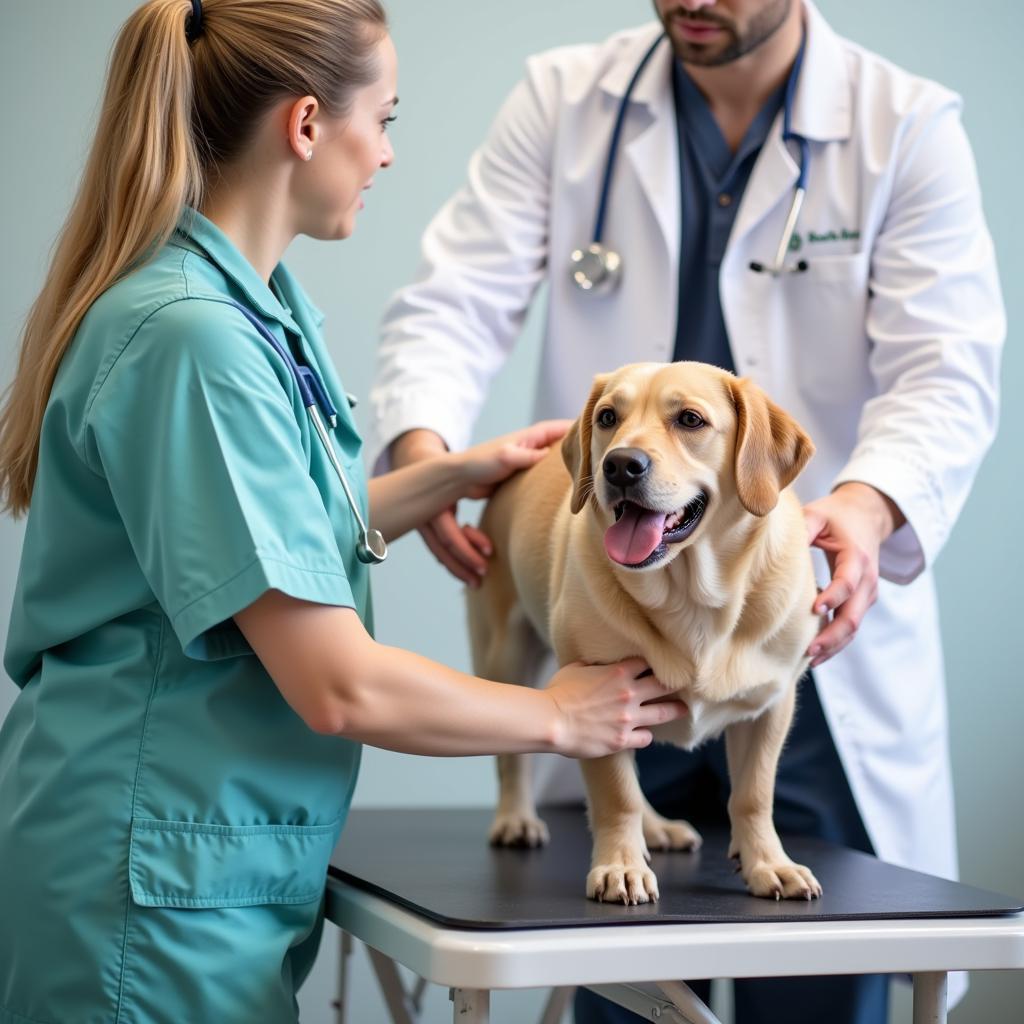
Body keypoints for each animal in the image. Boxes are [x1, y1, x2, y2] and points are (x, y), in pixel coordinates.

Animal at [468, 362, 827, 905]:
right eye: (608, 417)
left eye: (690, 419)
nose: (619, 465)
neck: (693, 596)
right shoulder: (597, 700)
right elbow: (617, 796)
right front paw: (620, 865)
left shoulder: (771, 703)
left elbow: (753, 795)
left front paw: (769, 863)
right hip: (504, 654)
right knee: (515, 762)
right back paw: (517, 819)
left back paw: (657, 828)